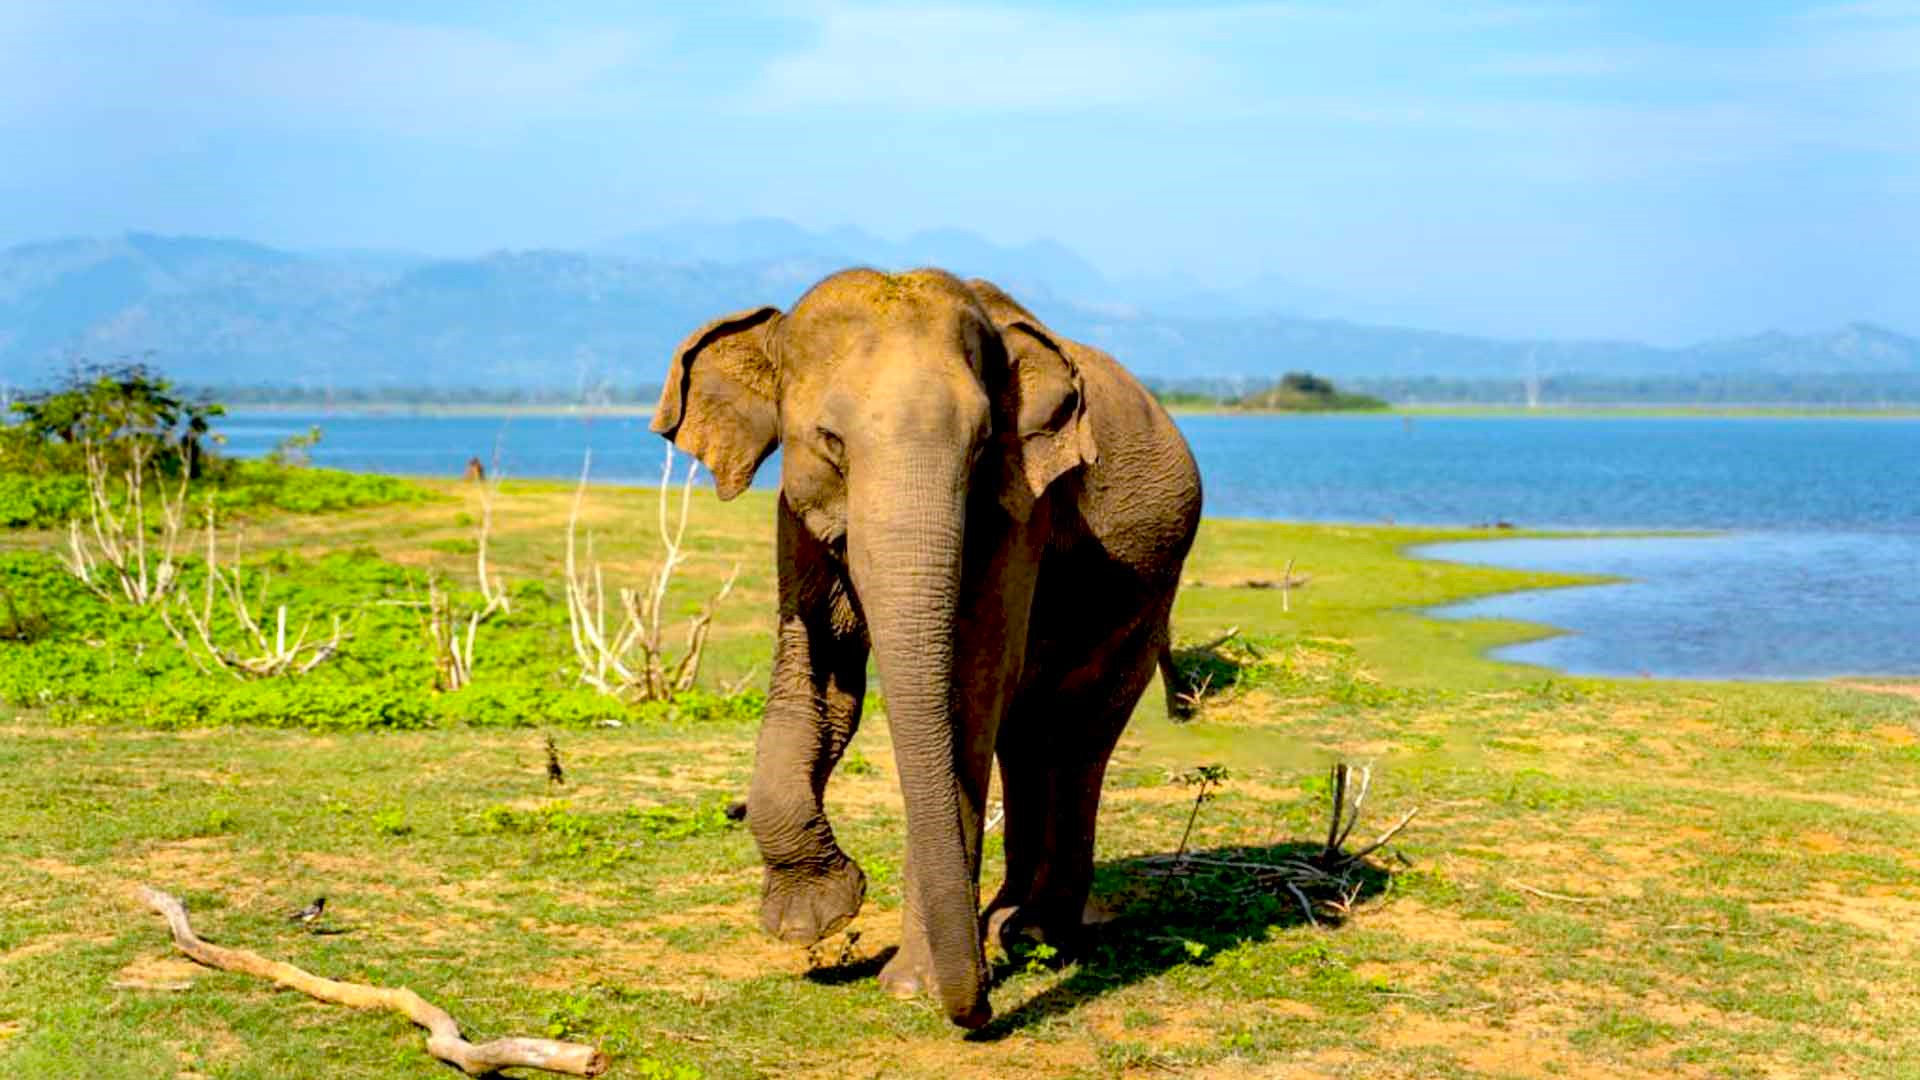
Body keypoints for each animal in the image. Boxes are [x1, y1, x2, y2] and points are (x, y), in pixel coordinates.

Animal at [651, 268, 1202, 1029]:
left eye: (982, 442)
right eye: (830, 439)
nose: (980, 1012)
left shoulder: (1019, 508)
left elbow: (969, 691)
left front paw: (914, 986)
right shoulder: (796, 513)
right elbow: (820, 681)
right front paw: (812, 919)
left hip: (1150, 594)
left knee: (1078, 735)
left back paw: (1038, 934)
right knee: (1027, 735)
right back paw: (1004, 927)